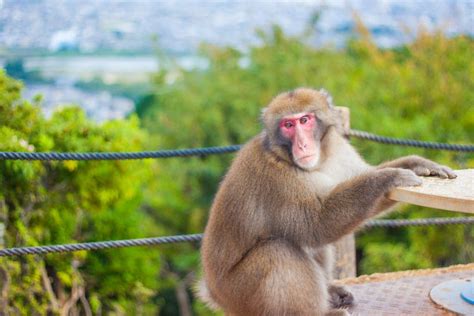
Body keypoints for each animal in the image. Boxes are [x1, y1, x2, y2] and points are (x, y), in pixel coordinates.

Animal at [197, 87, 456, 314]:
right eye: (288, 125)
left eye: (305, 120)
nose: (302, 144)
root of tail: (214, 293)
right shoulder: (275, 177)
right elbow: (316, 224)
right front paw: (388, 177)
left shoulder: (340, 150)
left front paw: (417, 164)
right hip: (240, 292)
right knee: (278, 251)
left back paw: (330, 293)